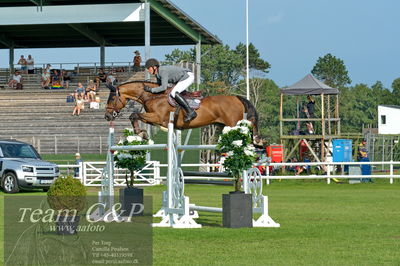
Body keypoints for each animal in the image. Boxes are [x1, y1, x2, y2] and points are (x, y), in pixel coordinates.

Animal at [103, 81, 260, 137]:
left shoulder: (159, 118)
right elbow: (135, 116)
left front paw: (141, 133)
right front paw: (142, 133)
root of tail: (236, 97)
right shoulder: (153, 119)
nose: (107, 116)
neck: (153, 96)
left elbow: (134, 114)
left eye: (112, 98)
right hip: (223, 126)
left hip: (233, 124)